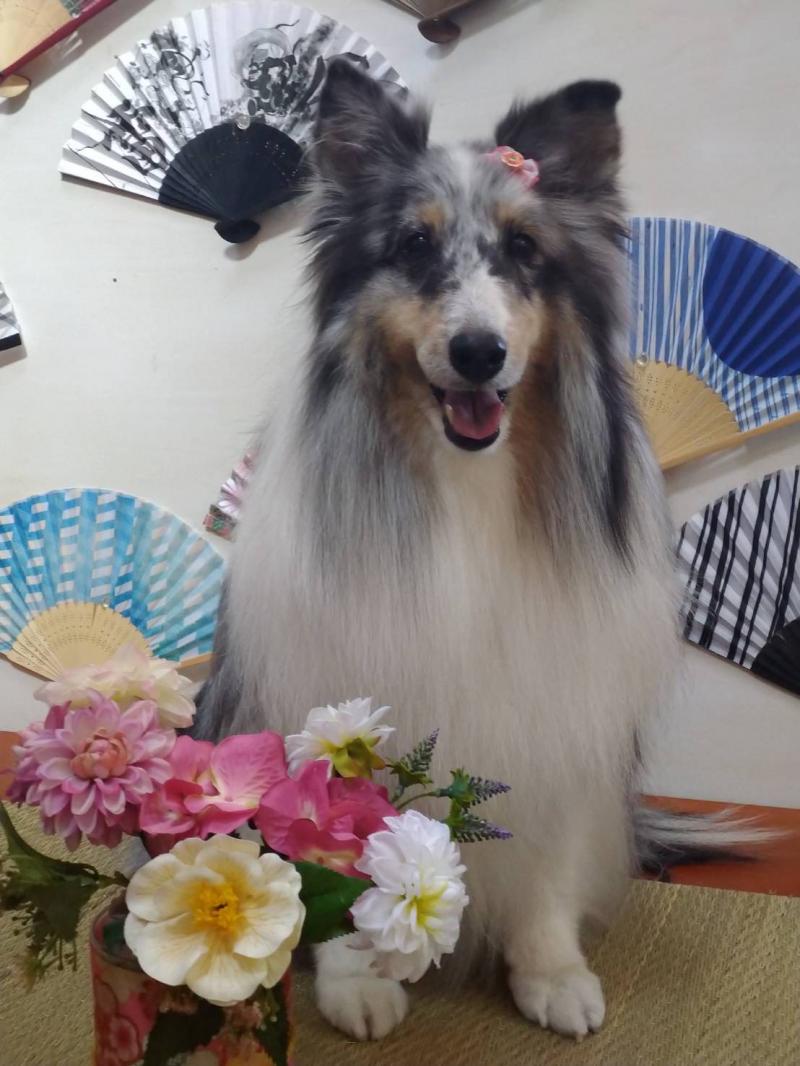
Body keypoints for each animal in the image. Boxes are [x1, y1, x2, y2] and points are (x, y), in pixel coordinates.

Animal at [196, 60, 685, 1041]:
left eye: (526, 250)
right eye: (414, 247)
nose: (478, 352)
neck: (468, 483)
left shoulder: (560, 706)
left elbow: (546, 855)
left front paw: (550, 970)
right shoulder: (331, 700)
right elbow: (333, 851)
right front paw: (355, 975)